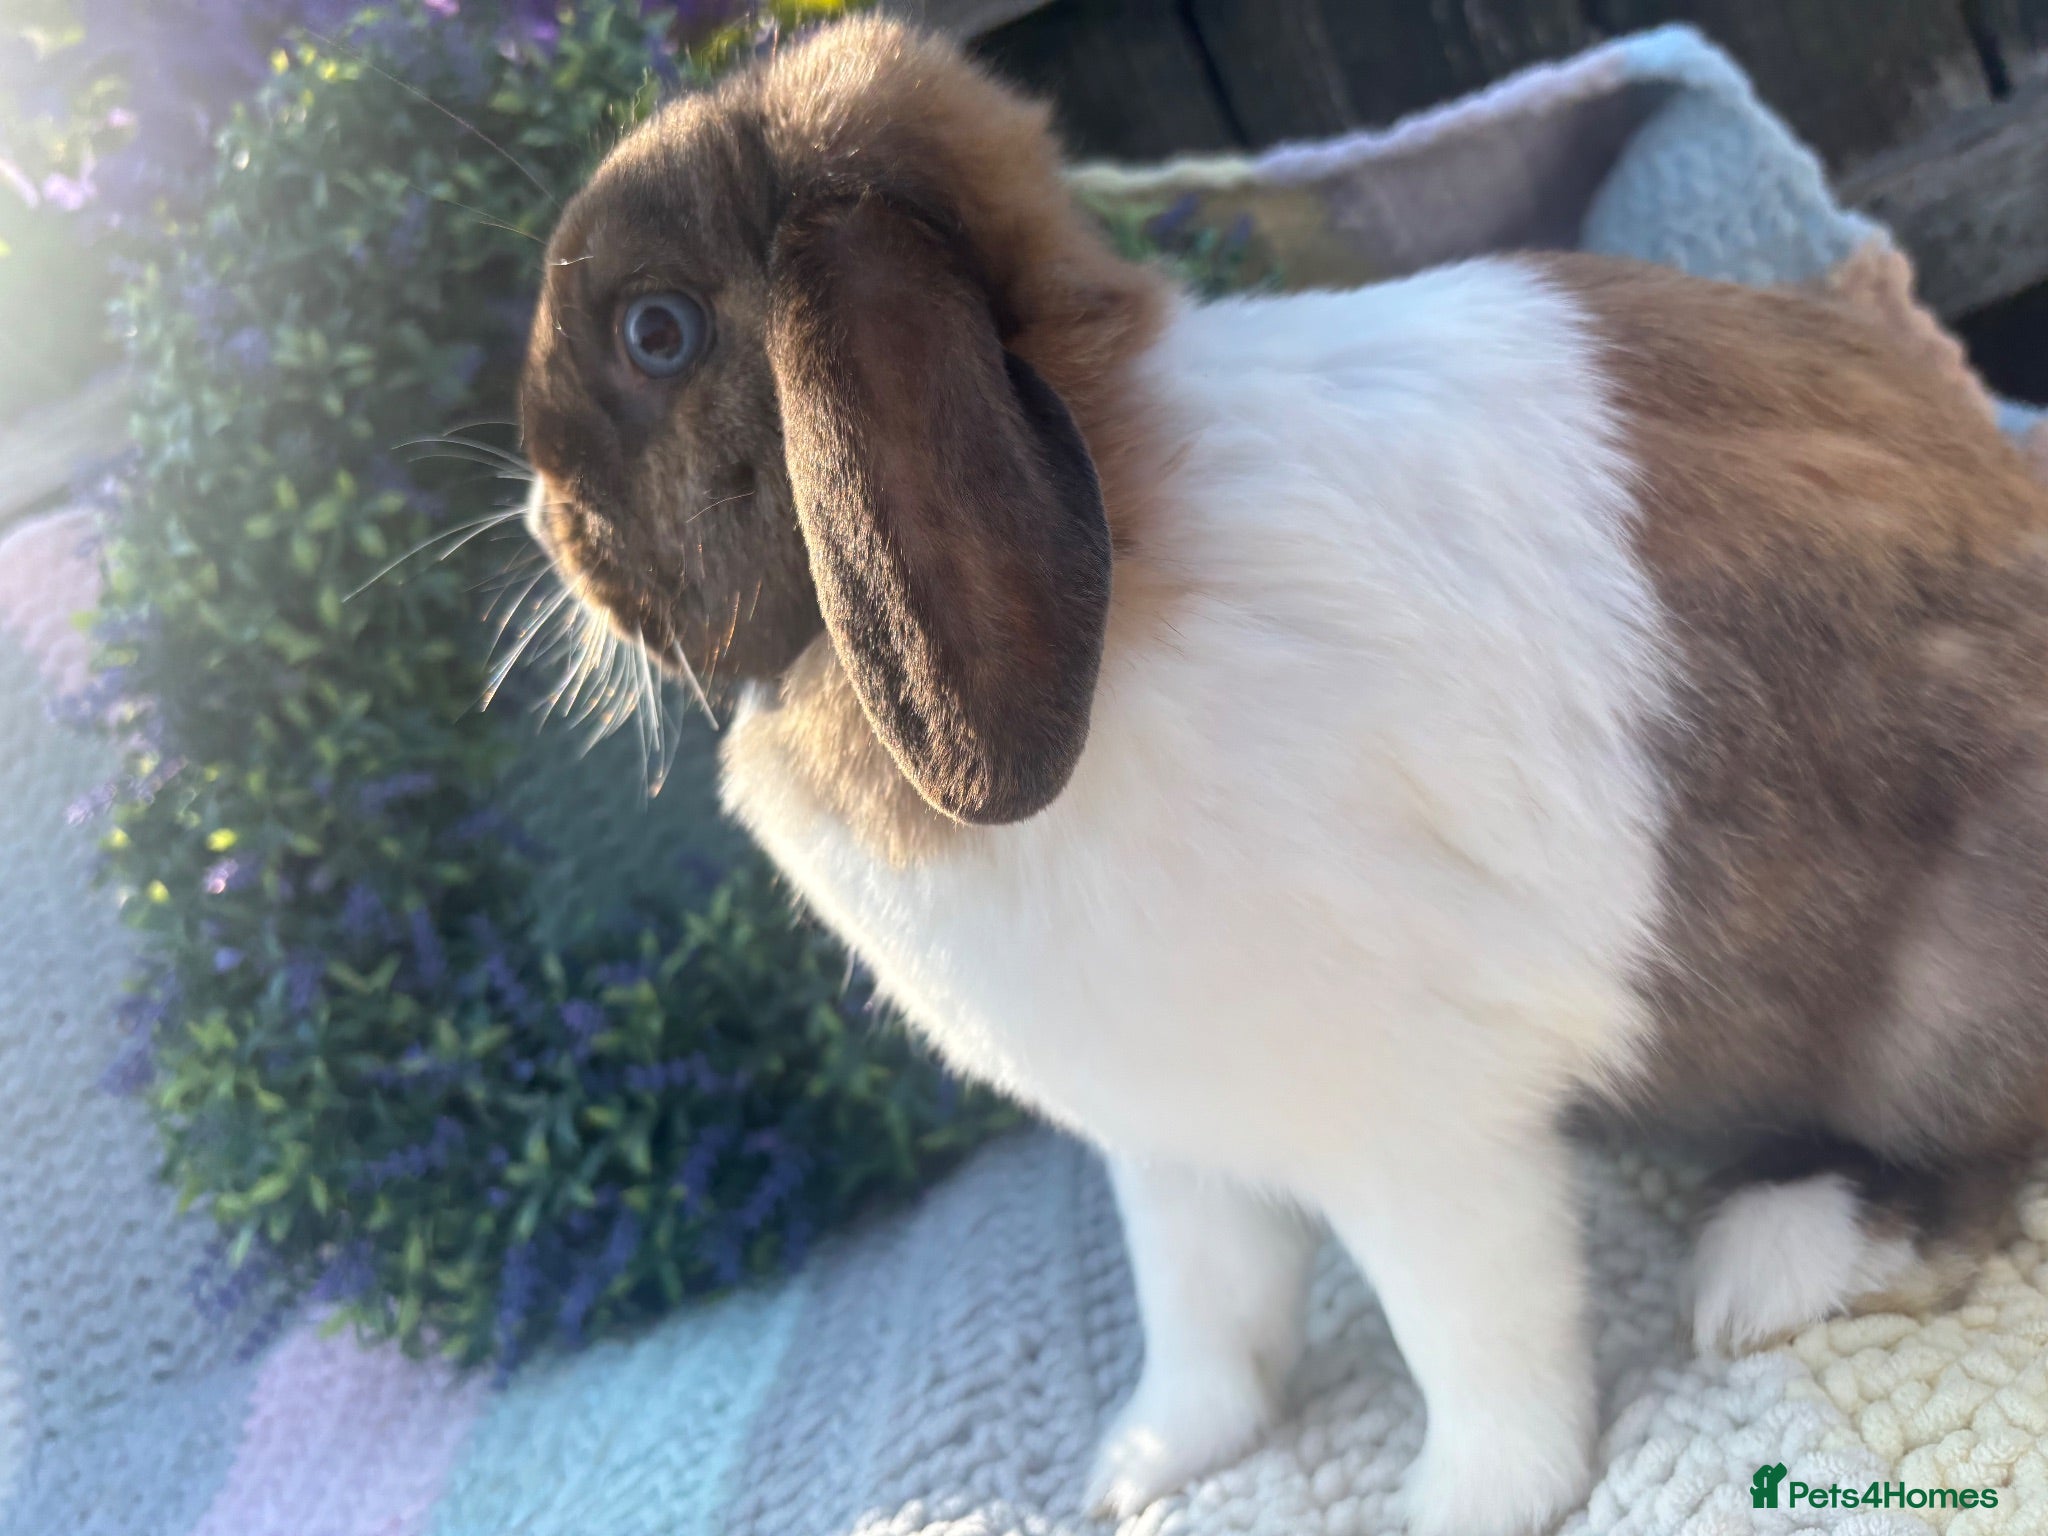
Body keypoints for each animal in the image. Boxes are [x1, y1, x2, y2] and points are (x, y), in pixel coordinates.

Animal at [516, 17, 2048, 1536]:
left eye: (657, 333)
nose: (541, 515)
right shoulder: (1174, 1146)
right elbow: (1205, 1313)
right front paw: (1143, 1467)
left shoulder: (1418, 1135)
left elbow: (1476, 1332)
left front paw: (1466, 1504)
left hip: (1939, 991)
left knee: (1971, 1152)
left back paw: (1782, 1256)